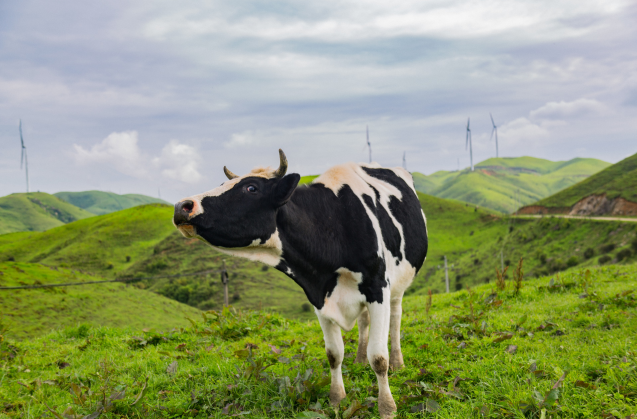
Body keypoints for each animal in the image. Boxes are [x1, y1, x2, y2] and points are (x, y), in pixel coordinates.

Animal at [173, 149, 428, 418]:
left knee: (396, 318)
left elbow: (379, 357)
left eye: (251, 188)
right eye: (223, 184)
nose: (182, 206)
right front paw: (336, 399)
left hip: (397, 285)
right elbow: (334, 354)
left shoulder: (377, 287)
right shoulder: (319, 295)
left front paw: (387, 407)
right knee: (363, 320)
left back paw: (398, 361)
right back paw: (359, 358)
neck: (331, 227)